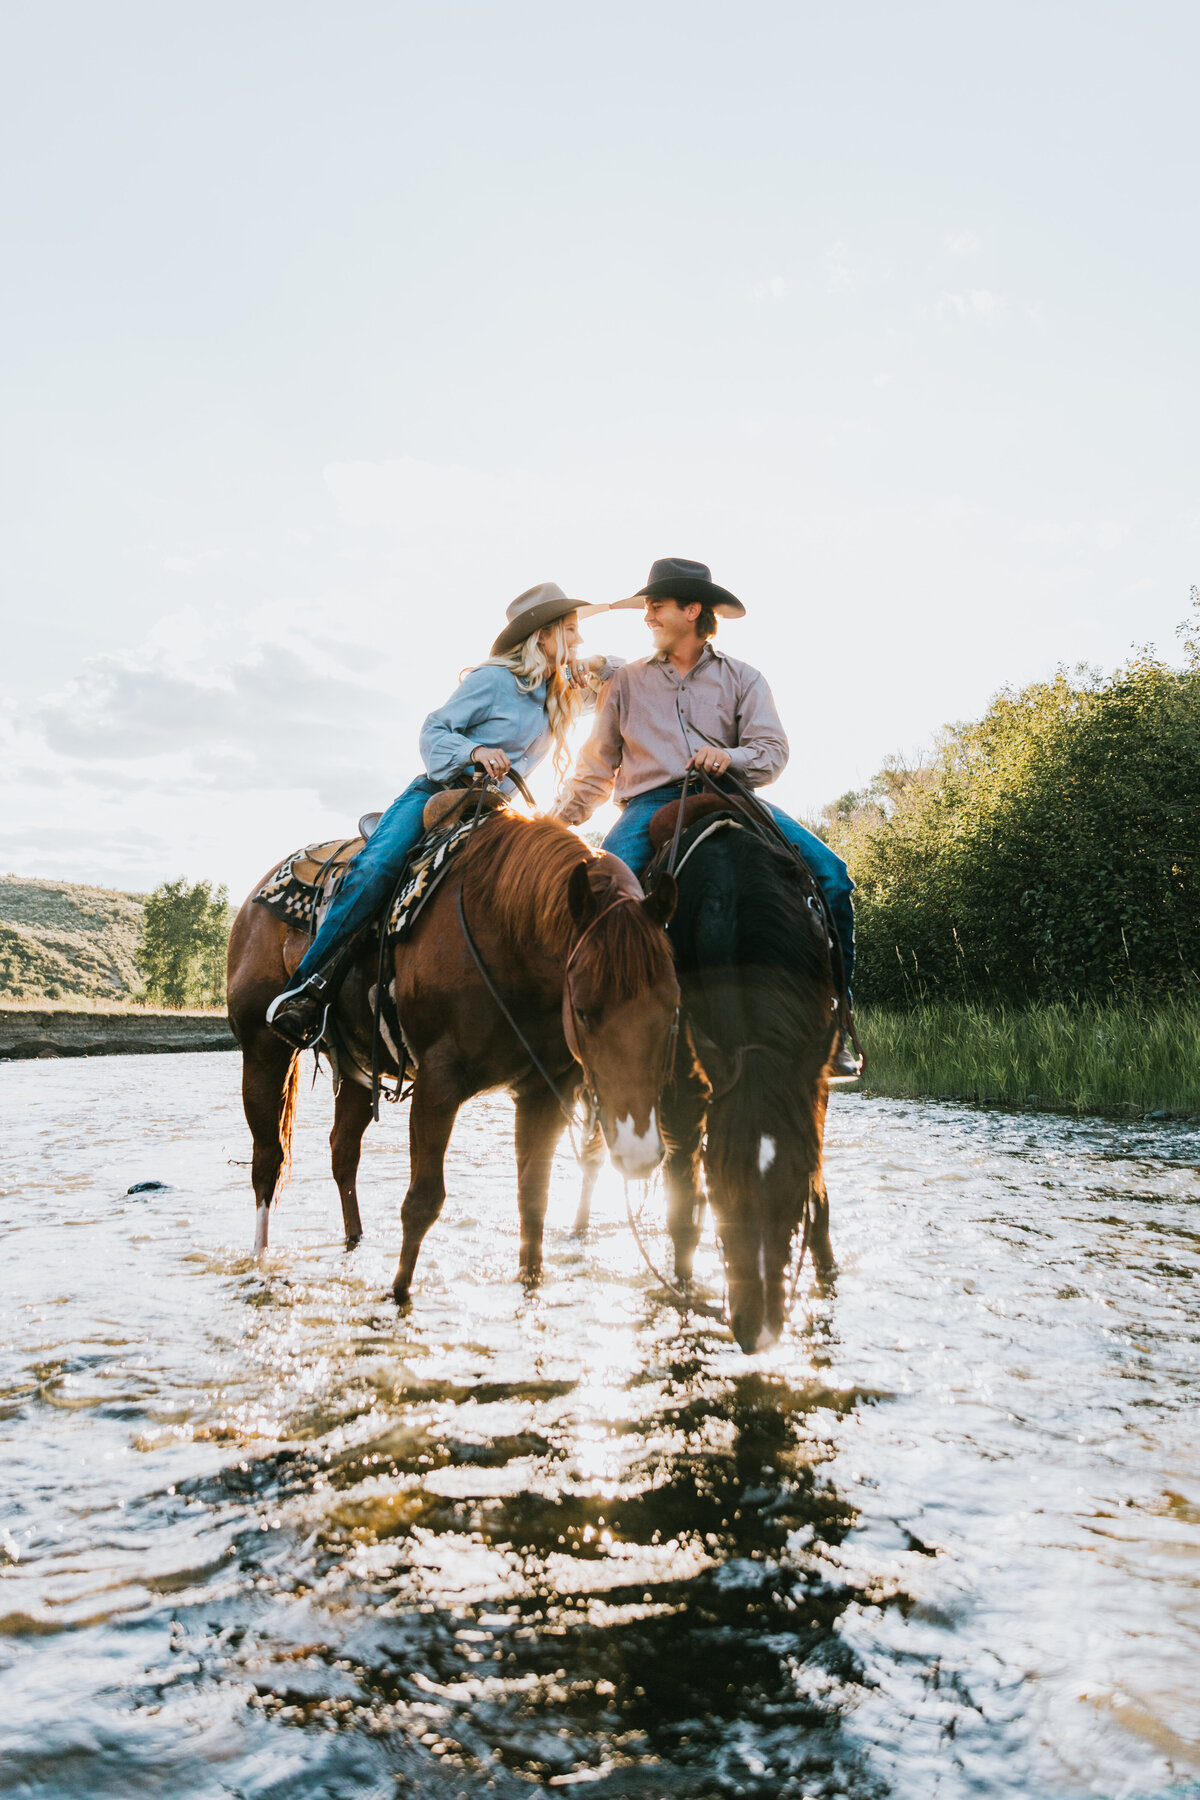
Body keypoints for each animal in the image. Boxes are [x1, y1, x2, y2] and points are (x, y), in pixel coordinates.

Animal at [224, 810, 676, 1303]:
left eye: (673, 1010)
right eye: (583, 1012)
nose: (638, 1153)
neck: (505, 930)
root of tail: (254, 899)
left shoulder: (542, 1092)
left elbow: (533, 1200)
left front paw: (530, 1284)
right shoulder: (438, 1084)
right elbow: (422, 1201)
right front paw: (398, 1295)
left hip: (359, 1072)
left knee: (343, 1153)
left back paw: (354, 1240)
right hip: (263, 1051)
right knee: (268, 1161)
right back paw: (260, 1258)